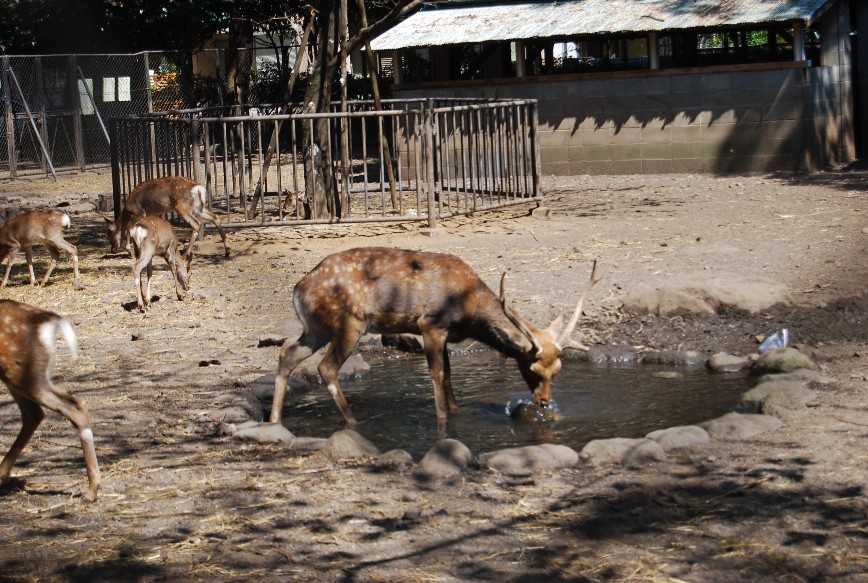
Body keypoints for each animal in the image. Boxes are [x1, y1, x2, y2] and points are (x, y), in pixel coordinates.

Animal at [0, 302, 100, 502]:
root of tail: (50, 321)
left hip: (22, 374)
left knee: (68, 409)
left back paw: (91, 491)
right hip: (27, 375)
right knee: (38, 412)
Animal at [270, 248, 596, 428]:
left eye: (558, 370)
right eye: (532, 368)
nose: (544, 401)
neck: (468, 311)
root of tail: (298, 290)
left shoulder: (447, 335)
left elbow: (449, 375)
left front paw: (456, 411)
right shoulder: (431, 326)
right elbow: (438, 374)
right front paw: (441, 420)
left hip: (316, 327)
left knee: (287, 353)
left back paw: (275, 419)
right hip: (350, 323)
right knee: (326, 367)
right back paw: (352, 421)